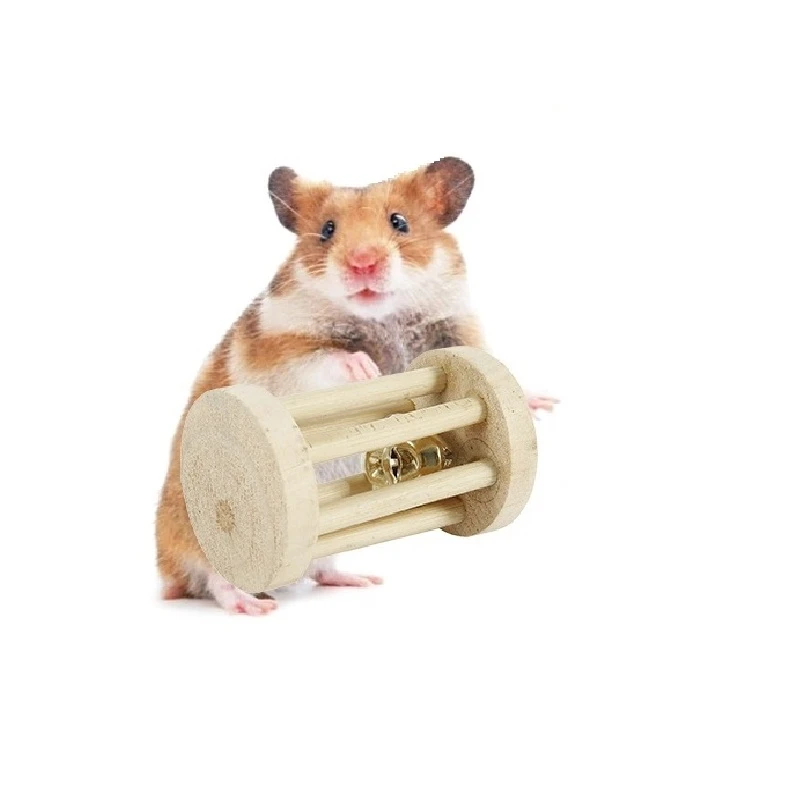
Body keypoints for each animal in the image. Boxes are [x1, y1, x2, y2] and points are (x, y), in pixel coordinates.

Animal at [156, 156, 556, 615]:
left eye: (399, 222)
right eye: (327, 229)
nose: (363, 263)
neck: (382, 317)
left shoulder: (456, 332)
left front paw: (542, 403)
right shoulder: (282, 352)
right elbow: (328, 358)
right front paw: (369, 369)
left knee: (319, 569)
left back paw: (360, 580)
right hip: (195, 538)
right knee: (213, 579)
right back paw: (254, 605)